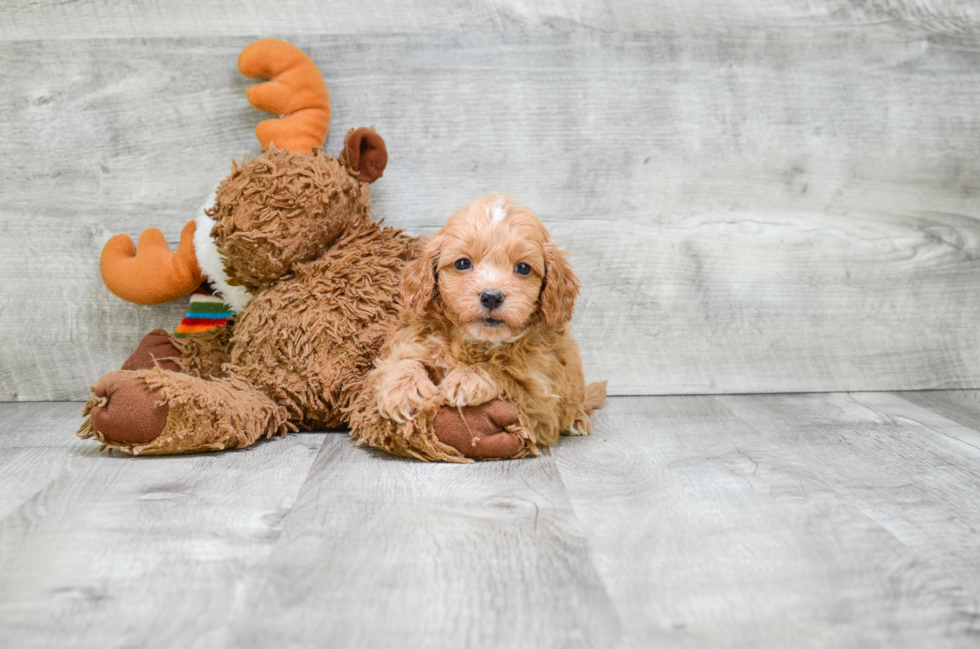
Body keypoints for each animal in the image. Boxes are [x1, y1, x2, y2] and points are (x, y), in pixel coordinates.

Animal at [372, 195, 604, 454]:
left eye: (523, 268)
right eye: (463, 263)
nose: (492, 296)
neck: (476, 341)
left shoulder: (540, 397)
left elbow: (504, 370)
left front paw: (468, 377)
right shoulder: (411, 337)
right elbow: (401, 359)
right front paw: (405, 391)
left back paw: (578, 419)